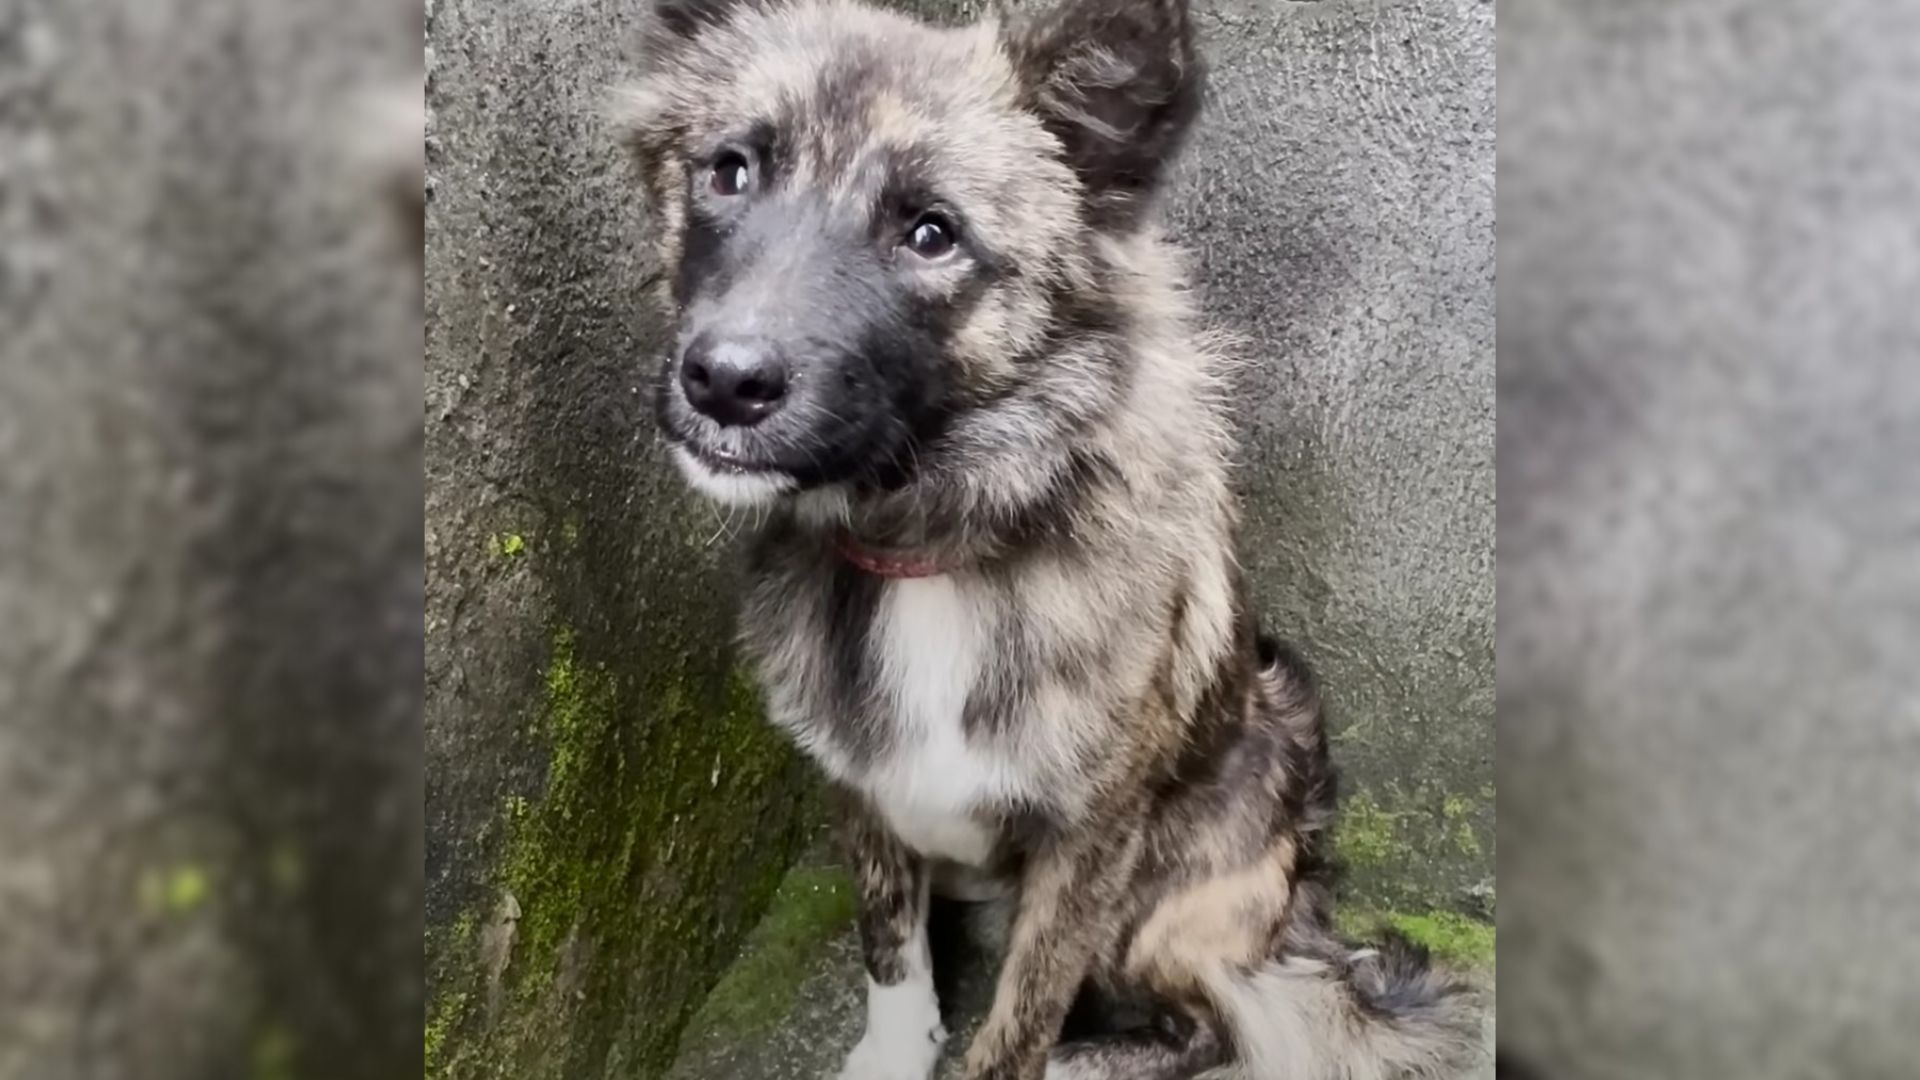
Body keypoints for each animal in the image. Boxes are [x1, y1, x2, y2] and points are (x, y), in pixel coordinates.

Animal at [614, 0, 1482, 1068]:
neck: (934, 550)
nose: (725, 382)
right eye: (729, 170)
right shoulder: (863, 794)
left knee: (1211, 1030)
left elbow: (1020, 1022)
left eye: (932, 234)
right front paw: (896, 1052)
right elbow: (890, 951)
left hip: (1169, 894)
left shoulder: (1087, 846)